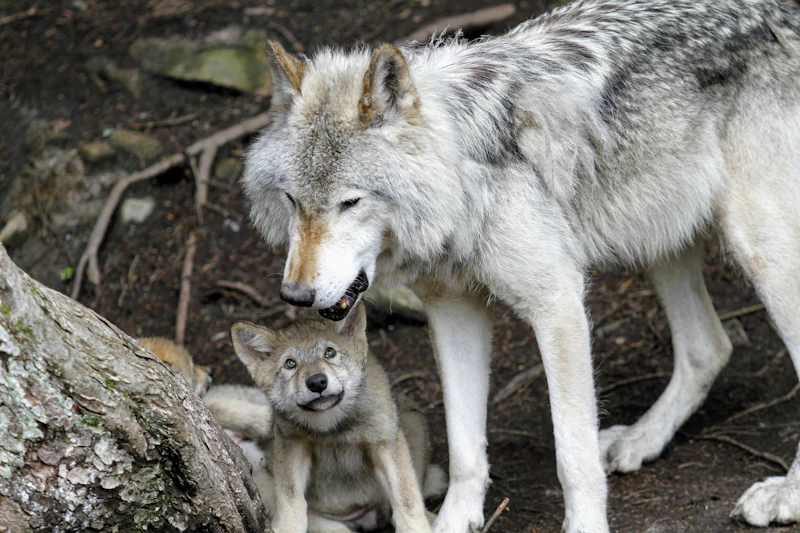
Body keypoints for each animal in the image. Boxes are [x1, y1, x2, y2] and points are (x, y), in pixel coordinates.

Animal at [230, 303, 446, 533]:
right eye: (290, 364)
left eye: (329, 352)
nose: (317, 382)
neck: (332, 426)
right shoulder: (290, 443)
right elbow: (290, 498)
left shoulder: (385, 441)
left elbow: (407, 500)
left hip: (413, 421)